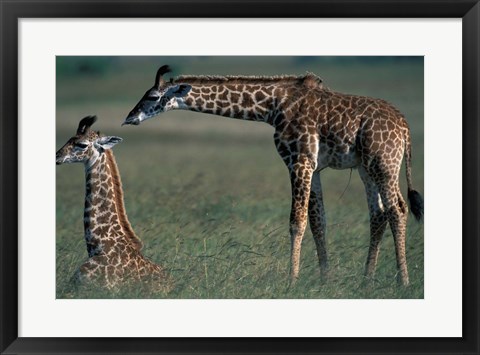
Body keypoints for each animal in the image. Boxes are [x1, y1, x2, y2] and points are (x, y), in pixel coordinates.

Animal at [122, 65, 422, 286]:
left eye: (152, 97)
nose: (129, 118)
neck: (272, 107)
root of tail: (405, 127)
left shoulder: (298, 161)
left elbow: (296, 221)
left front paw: (291, 281)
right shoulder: (314, 166)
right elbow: (318, 222)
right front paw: (324, 280)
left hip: (384, 163)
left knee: (397, 209)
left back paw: (403, 281)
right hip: (365, 168)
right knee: (378, 214)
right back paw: (366, 280)